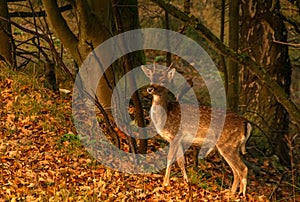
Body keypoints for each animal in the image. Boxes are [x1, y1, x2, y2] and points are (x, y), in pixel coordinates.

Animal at [142, 64, 252, 196]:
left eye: (163, 80)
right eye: (151, 79)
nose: (150, 89)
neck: (166, 117)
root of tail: (246, 124)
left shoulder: (175, 136)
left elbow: (169, 159)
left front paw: (165, 183)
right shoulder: (180, 140)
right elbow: (181, 162)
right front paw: (187, 182)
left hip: (228, 144)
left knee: (243, 168)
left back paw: (241, 195)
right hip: (231, 146)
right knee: (236, 171)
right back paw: (231, 193)